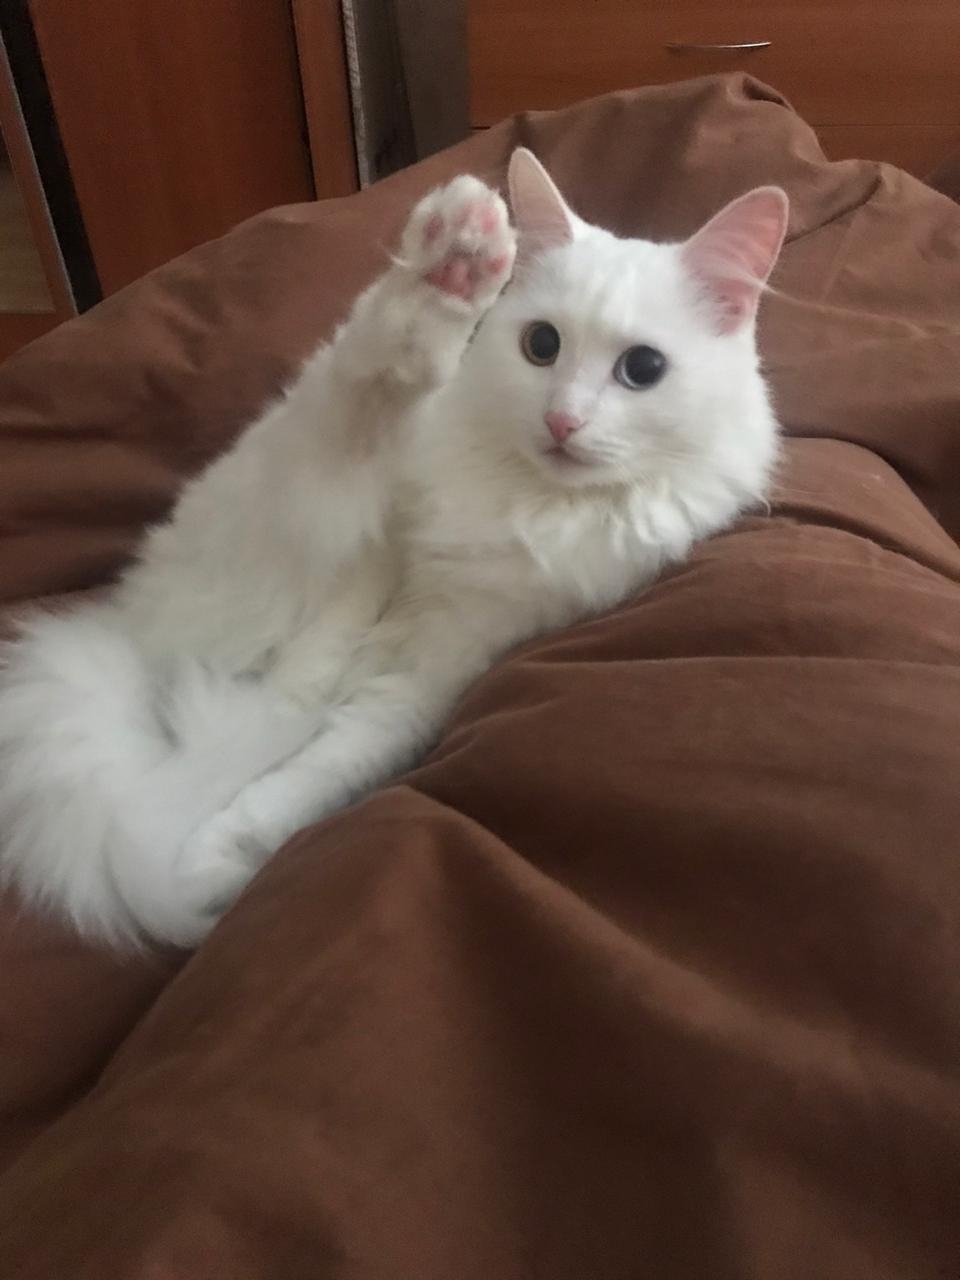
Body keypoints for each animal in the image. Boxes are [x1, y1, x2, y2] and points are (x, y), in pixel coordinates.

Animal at [0, 152, 788, 952]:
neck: (524, 499)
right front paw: (458, 260)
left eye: (643, 369)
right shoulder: (374, 521)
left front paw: (216, 867)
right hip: (278, 501)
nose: (562, 422)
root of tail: (131, 637)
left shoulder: (438, 665)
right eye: (541, 346)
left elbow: (313, 772)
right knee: (345, 425)